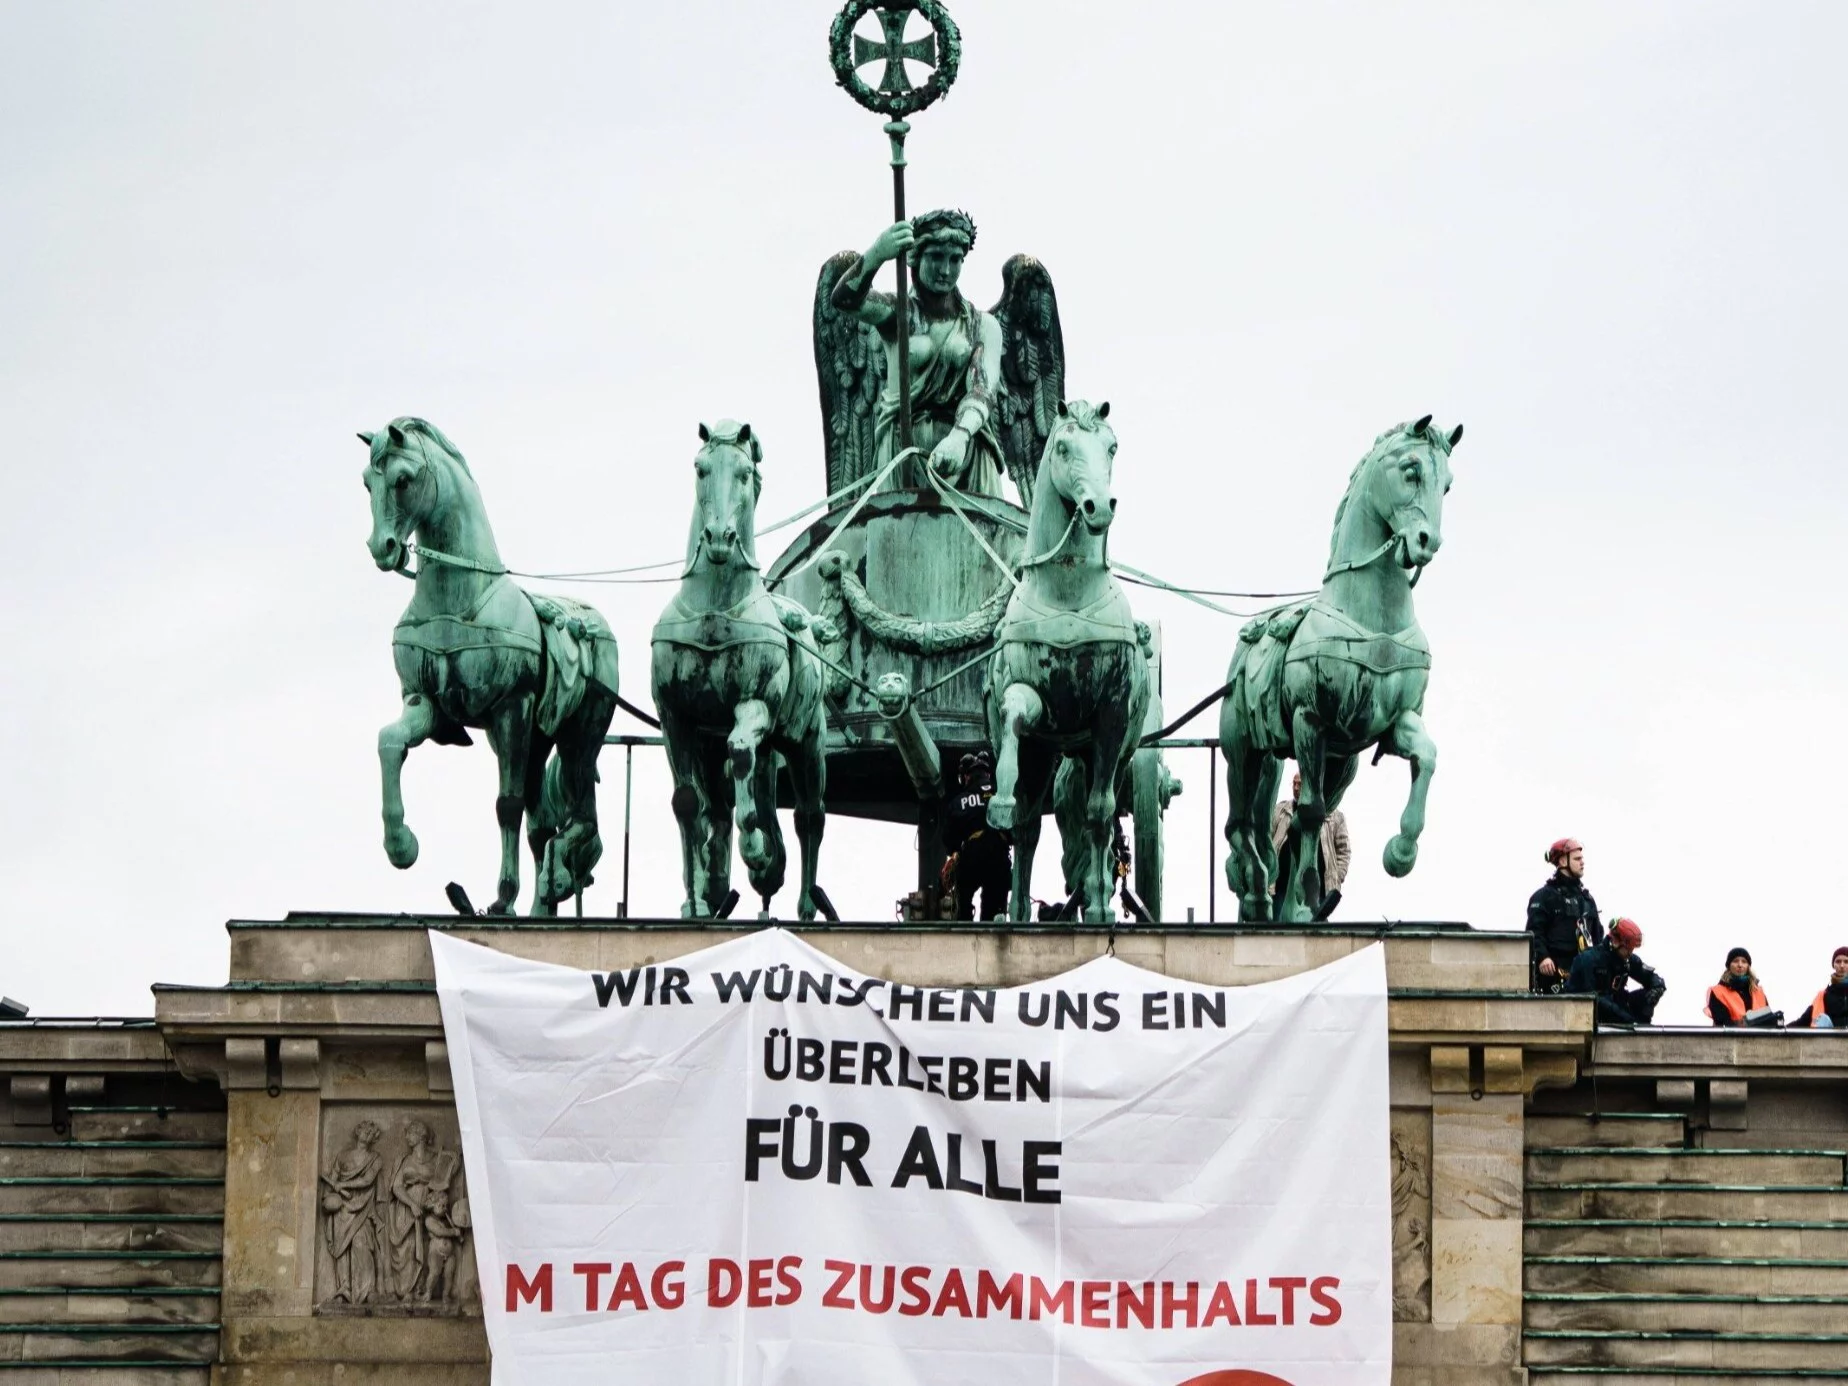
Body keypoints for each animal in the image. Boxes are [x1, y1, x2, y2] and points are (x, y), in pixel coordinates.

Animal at [356, 417, 617, 916]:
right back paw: (541, 906)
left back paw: (557, 875)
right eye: (366, 482)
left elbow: (506, 805)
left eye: (403, 480)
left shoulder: (510, 708)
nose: (383, 549)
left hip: (577, 737)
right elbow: (389, 743)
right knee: (543, 827)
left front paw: (503, 897)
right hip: (535, 740)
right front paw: (401, 846)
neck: (458, 599)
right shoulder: (425, 704)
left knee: (579, 817)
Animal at [646, 423, 827, 924]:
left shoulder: (754, 705)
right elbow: (688, 805)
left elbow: (743, 755)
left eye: (746, 472)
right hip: (710, 750)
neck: (715, 607)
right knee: (718, 809)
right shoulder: (676, 720)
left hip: (807, 742)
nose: (720, 538)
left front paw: (760, 857)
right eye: (700, 468)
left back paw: (805, 904)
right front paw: (695, 898)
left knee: (810, 817)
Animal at [990, 399, 1145, 924]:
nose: (1099, 507)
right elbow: (1014, 715)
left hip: (1108, 752)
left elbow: (1099, 813)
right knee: (1028, 827)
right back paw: (1017, 910)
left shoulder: (1111, 717)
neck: (1068, 593)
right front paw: (999, 795)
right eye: (1062, 447)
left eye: (1112, 447)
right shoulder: (1038, 707)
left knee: (1100, 814)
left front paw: (1099, 905)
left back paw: (1096, 900)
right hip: (1048, 751)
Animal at [1219, 417, 1463, 927]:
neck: (1372, 617)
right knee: (1240, 825)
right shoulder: (1310, 721)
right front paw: (1298, 902)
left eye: (1447, 484)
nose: (1427, 543)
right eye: (1411, 469)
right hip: (1243, 751)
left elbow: (1427, 756)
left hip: (1339, 763)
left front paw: (1401, 853)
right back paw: (1257, 894)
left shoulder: (1394, 723)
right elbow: (1309, 813)